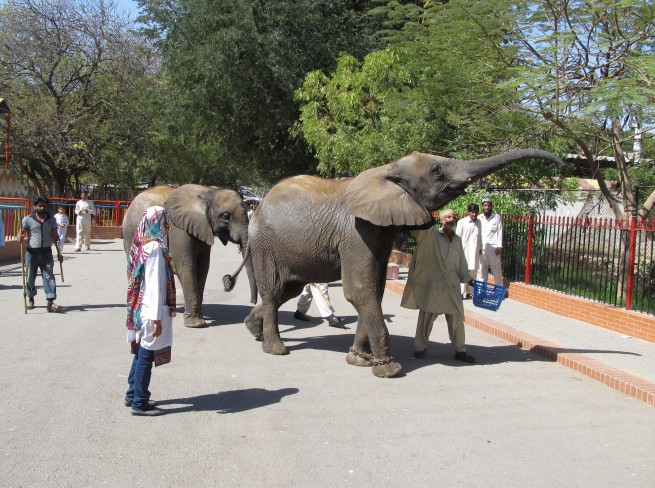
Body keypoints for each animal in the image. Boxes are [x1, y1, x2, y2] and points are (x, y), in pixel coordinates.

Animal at [123, 184, 256, 328]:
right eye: (226, 216)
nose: (228, 282)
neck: (207, 192)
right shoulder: (180, 230)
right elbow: (185, 267)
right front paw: (195, 323)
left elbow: (202, 268)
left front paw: (198, 316)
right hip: (131, 233)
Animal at [234, 149, 564, 378]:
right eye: (436, 169)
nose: (560, 165)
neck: (387, 169)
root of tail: (258, 206)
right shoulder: (357, 230)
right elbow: (360, 290)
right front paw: (388, 370)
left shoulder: (379, 231)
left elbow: (375, 289)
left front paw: (358, 360)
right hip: (265, 244)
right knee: (274, 290)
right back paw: (276, 349)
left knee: (285, 291)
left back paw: (253, 330)